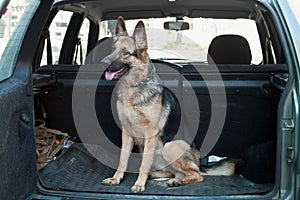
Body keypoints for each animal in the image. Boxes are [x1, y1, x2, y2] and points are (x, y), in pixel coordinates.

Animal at [101, 16, 237, 192]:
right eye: (112, 49)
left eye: (125, 53)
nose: (103, 62)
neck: (134, 87)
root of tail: (199, 163)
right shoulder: (126, 133)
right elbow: (122, 159)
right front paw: (116, 179)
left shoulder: (150, 134)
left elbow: (143, 164)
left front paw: (139, 184)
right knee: (171, 172)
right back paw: (159, 176)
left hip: (170, 146)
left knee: (196, 175)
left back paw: (176, 181)